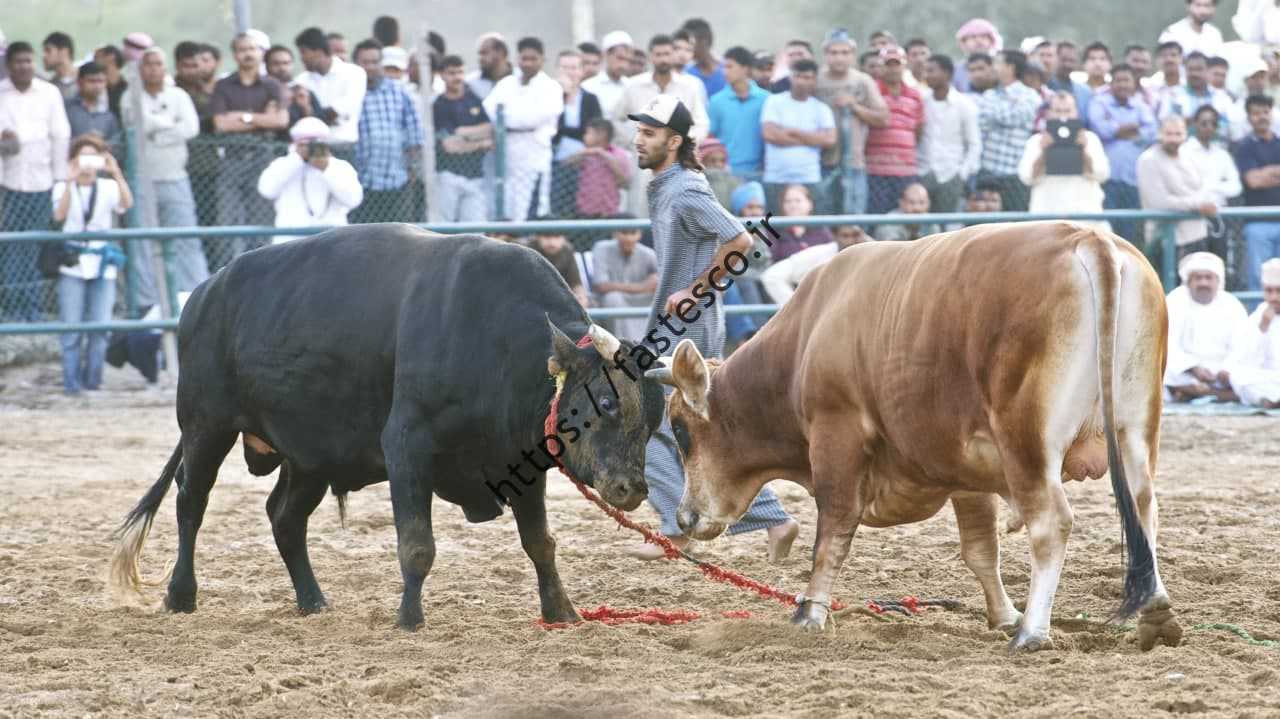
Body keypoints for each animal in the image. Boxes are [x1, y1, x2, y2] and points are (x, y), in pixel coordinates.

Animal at [108, 223, 665, 626]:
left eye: (656, 418)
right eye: (606, 402)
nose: (632, 487)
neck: (492, 335)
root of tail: (204, 294)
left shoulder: (519, 457)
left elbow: (540, 544)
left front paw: (560, 611)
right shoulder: (407, 449)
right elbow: (417, 546)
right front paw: (410, 617)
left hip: (310, 456)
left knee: (284, 517)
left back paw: (312, 600)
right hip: (206, 426)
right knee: (190, 504)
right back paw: (181, 595)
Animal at [650, 222, 1177, 649]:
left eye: (681, 429)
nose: (684, 517)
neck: (809, 334)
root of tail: (1090, 239)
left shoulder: (836, 438)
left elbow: (832, 534)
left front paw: (810, 613)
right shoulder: (967, 470)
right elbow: (981, 551)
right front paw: (1003, 615)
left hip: (1028, 443)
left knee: (1051, 523)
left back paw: (1033, 633)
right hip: (1136, 428)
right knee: (1144, 508)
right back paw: (1153, 612)